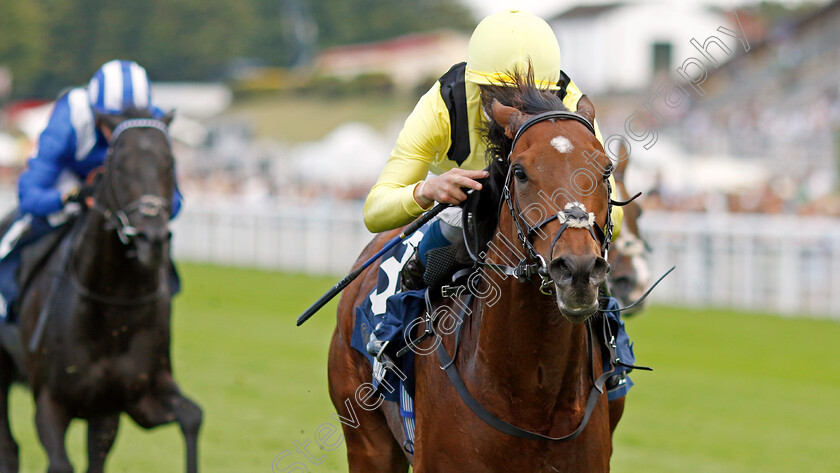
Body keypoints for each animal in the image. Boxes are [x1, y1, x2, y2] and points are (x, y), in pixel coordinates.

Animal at [0, 110, 202, 472]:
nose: (152, 240)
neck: (112, 304)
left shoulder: (135, 396)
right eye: (119, 166)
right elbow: (60, 463)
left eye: (170, 164)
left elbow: (192, 417)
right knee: (8, 447)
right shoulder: (51, 402)